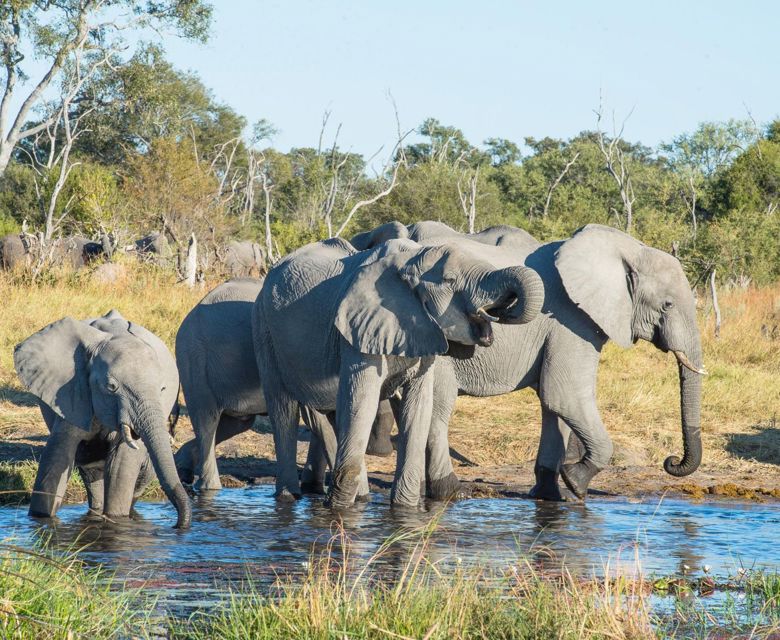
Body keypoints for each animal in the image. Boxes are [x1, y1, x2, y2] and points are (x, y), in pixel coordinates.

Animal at [14, 308, 191, 524]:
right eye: (111, 387)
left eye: (162, 389)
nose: (178, 526)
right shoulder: (74, 392)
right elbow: (57, 455)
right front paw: (41, 520)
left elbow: (121, 464)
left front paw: (116, 519)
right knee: (89, 468)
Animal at [254, 238, 544, 508]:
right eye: (450, 280)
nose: (505, 309)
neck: (410, 260)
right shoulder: (359, 330)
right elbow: (362, 403)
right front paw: (338, 511)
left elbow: (418, 408)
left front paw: (405, 509)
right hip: (265, 330)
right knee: (283, 410)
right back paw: (289, 498)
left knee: (334, 416)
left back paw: (362, 499)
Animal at [360, 224, 708, 500]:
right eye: (667, 304)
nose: (671, 461)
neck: (626, 249)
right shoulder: (572, 322)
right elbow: (564, 395)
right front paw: (576, 482)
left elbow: (552, 405)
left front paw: (551, 496)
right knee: (438, 408)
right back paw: (448, 491)